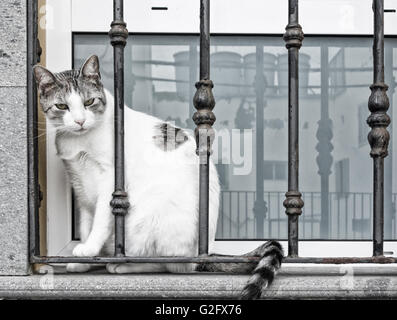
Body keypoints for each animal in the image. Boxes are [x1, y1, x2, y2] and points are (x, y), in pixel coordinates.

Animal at [32, 55, 284, 300]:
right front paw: (83, 261)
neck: (79, 142)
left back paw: (123, 266)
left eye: (89, 102)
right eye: (62, 106)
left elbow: (101, 220)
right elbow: (86, 224)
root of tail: (204, 252)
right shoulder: (80, 186)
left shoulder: (109, 180)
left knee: (168, 264)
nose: (80, 121)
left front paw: (89, 249)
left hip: (150, 223)